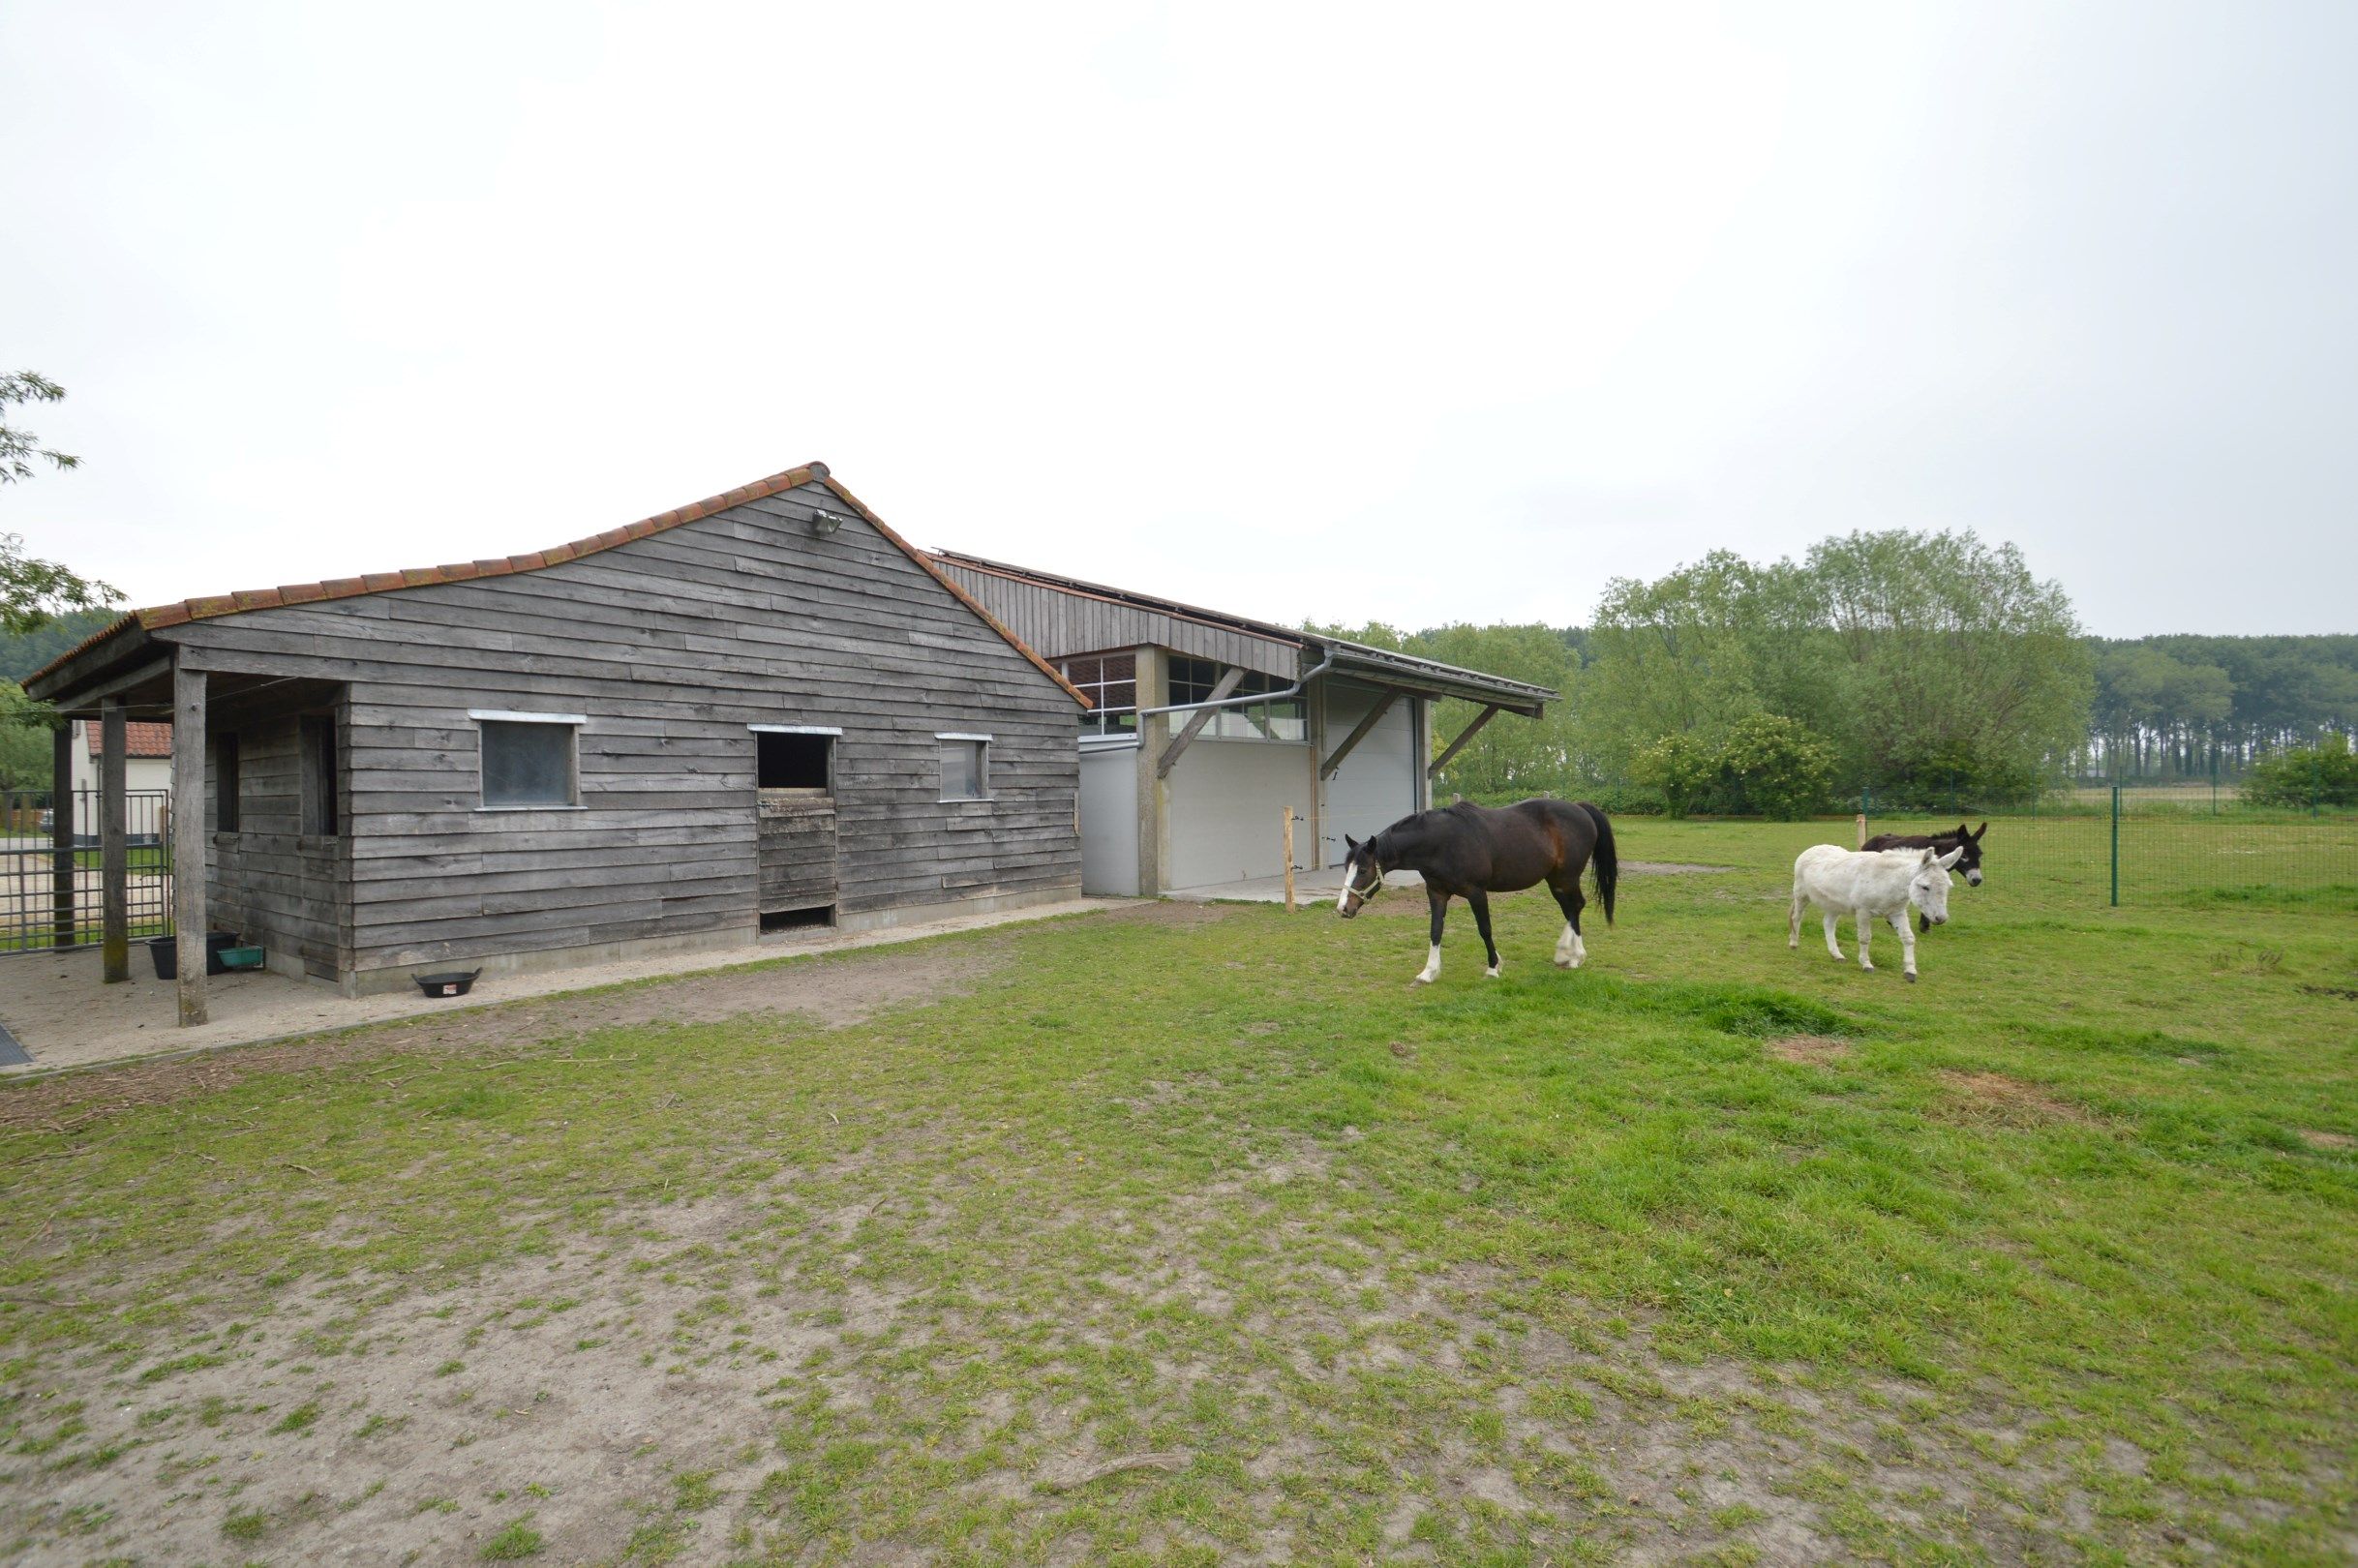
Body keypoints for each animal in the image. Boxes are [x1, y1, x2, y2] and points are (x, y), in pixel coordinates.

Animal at [1339, 801, 1613, 985]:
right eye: (1346, 867)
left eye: (1362, 870)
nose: (1343, 909)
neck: (1441, 842)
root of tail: (1580, 808)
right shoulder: (1436, 893)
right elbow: (1435, 930)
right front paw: (1428, 972)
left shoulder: (1477, 892)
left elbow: (1485, 929)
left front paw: (1493, 967)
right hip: (1555, 880)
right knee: (1570, 908)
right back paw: (1565, 953)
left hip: (1567, 878)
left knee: (1576, 906)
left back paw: (1575, 956)